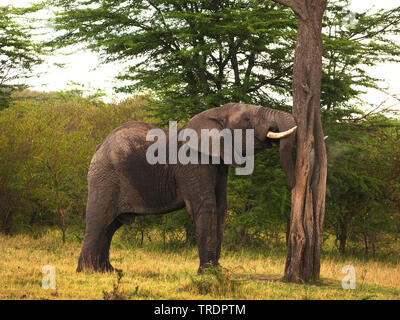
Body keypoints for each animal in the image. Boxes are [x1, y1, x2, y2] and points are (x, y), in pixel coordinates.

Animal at [76, 102, 296, 272]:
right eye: (247, 119)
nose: (293, 185)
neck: (216, 112)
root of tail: (99, 147)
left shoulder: (218, 163)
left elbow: (221, 207)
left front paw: (219, 271)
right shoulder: (191, 162)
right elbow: (207, 206)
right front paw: (208, 273)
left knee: (111, 226)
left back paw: (107, 271)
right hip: (105, 178)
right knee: (100, 221)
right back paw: (87, 272)